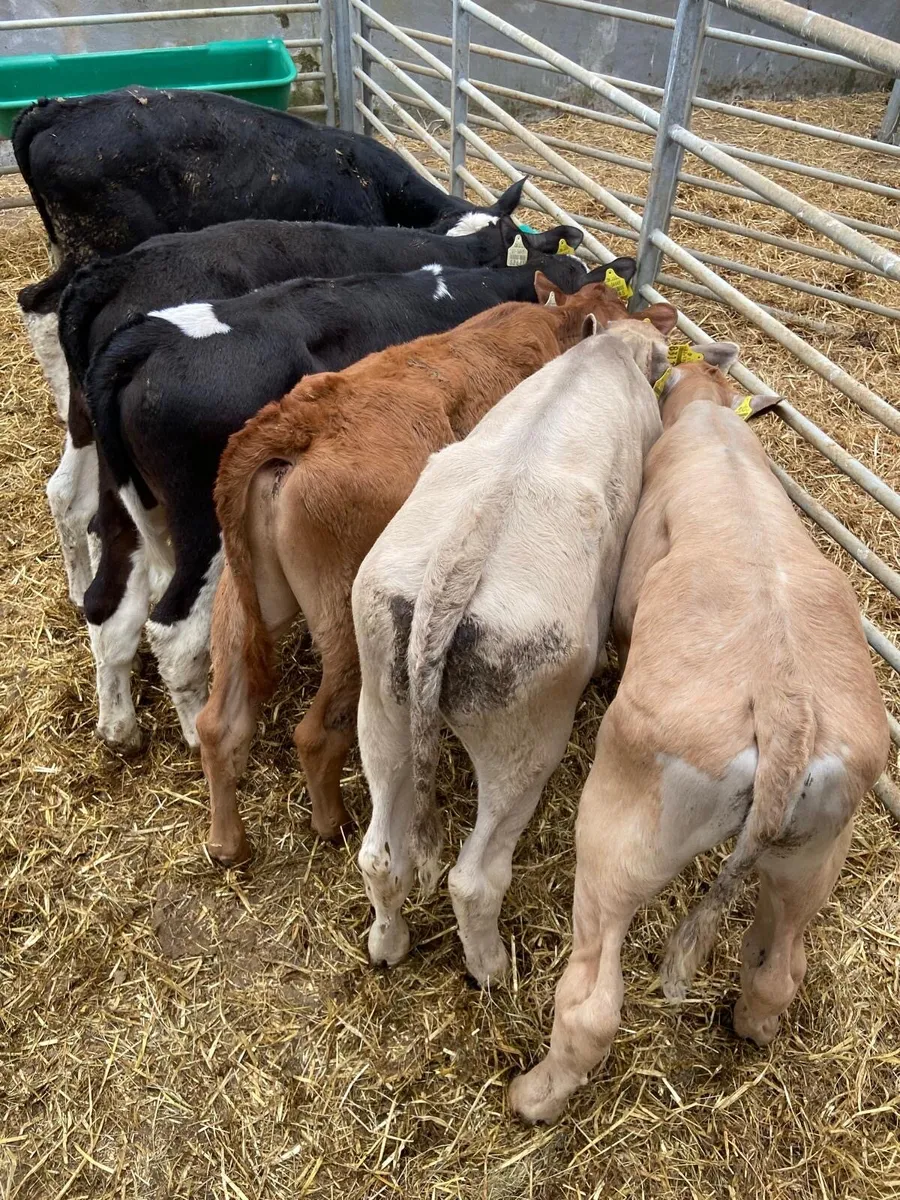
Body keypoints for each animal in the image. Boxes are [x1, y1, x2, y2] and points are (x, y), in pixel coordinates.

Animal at [85, 255, 618, 755]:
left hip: (128, 507)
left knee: (107, 601)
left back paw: (119, 727)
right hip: (202, 529)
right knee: (176, 630)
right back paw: (193, 732)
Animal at [197, 273, 646, 867]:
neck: (553, 327)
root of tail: (303, 418)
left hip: (247, 596)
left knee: (218, 722)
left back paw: (228, 841)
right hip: (345, 618)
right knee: (316, 734)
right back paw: (332, 822)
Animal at [352, 307, 679, 984]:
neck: (607, 351)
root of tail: (455, 561)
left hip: (381, 704)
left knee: (380, 856)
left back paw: (388, 944)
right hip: (525, 741)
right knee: (472, 879)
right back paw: (491, 968)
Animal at [508, 352, 890, 1124]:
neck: (711, 419)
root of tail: (785, 708)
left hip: (625, 833)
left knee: (593, 1002)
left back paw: (532, 1096)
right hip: (814, 854)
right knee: (782, 966)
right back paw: (751, 1022)